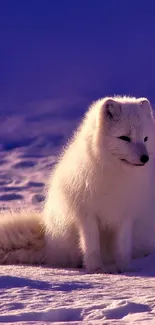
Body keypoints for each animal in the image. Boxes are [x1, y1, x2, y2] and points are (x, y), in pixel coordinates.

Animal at [0, 95, 155, 272]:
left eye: (145, 138)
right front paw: (96, 270)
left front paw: (124, 269)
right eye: (125, 138)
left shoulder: (126, 215)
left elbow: (123, 248)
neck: (115, 174)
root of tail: (47, 239)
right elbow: (91, 247)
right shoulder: (86, 214)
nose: (145, 158)